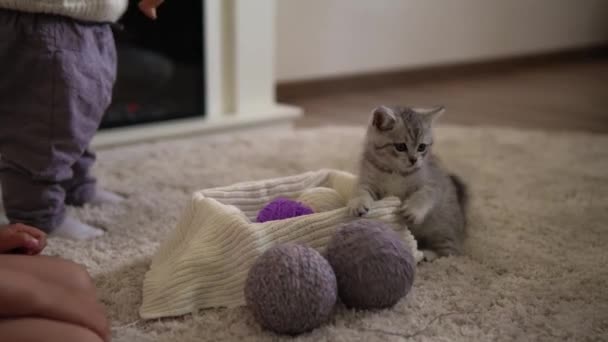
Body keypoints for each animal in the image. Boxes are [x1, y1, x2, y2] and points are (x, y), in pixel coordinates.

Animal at [346, 105, 470, 260]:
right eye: (400, 147)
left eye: (422, 147)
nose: (414, 160)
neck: (395, 172)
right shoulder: (367, 180)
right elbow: (360, 191)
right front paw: (358, 203)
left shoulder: (433, 183)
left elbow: (424, 195)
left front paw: (413, 210)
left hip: (443, 228)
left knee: (451, 253)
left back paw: (428, 255)